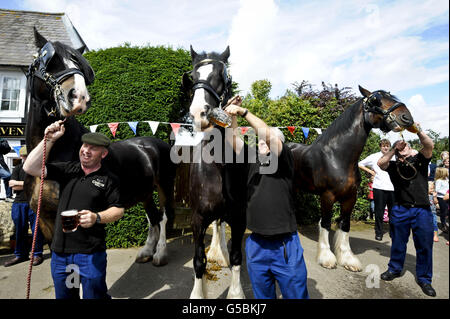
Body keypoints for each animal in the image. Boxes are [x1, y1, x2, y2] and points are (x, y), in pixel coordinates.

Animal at [24, 28, 176, 268]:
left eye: (79, 64)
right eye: (49, 61)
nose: (79, 97)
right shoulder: (46, 223)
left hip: (165, 187)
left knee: (163, 216)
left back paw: (160, 254)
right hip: (143, 192)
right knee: (153, 217)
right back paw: (146, 252)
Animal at [181, 46, 246, 298]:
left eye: (224, 76)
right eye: (193, 76)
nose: (199, 113)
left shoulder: (239, 217)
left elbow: (237, 257)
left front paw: (236, 292)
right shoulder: (197, 220)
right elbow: (199, 261)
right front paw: (198, 293)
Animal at [288, 87, 414, 272]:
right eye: (375, 99)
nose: (406, 117)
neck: (338, 157)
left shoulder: (350, 197)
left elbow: (345, 224)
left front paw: (348, 259)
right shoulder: (327, 196)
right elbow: (326, 223)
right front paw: (327, 258)